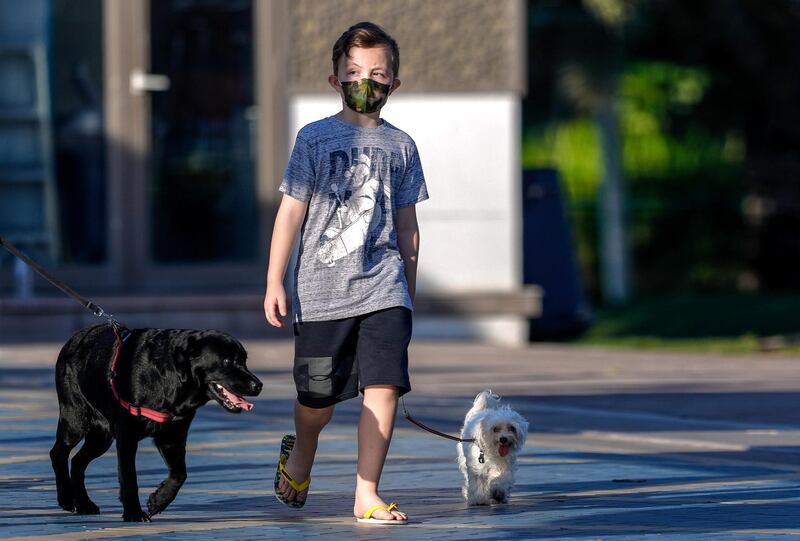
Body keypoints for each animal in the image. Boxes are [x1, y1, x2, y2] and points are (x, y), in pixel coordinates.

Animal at [50, 322, 260, 520]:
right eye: (227, 361)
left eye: (244, 360)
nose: (258, 385)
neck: (170, 381)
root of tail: (75, 338)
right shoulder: (126, 435)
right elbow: (129, 476)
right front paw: (133, 512)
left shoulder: (173, 436)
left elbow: (180, 474)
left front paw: (158, 500)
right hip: (75, 419)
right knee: (58, 453)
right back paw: (66, 498)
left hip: (101, 436)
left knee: (77, 461)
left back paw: (84, 503)